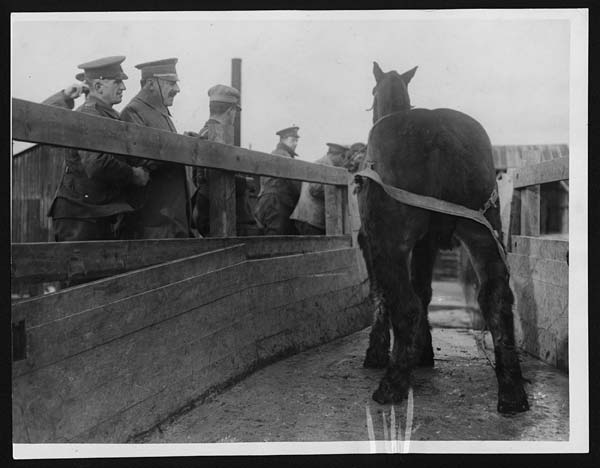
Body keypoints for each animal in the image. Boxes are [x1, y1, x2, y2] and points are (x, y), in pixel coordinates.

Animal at [356, 62, 528, 414]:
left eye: (370, 91)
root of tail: (440, 132)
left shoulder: (371, 238)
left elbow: (383, 295)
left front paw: (379, 353)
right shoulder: (427, 243)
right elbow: (424, 290)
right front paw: (423, 352)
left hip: (391, 239)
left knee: (404, 303)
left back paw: (392, 384)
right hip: (483, 231)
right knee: (496, 297)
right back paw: (512, 391)